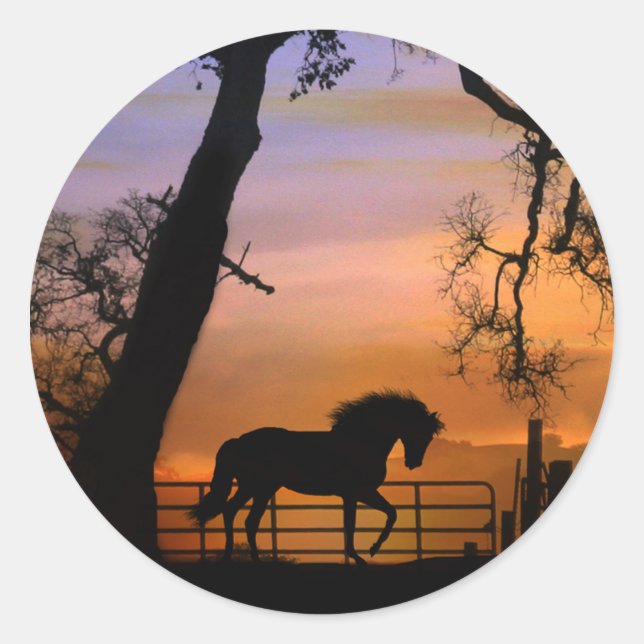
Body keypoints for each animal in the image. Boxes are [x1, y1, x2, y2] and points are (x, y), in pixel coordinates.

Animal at [188, 389, 444, 565]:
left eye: (429, 437)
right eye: (421, 433)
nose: (414, 463)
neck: (361, 441)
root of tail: (239, 441)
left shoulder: (355, 494)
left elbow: (384, 515)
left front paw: (366, 552)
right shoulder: (358, 493)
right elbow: (366, 521)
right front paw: (365, 554)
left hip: (260, 489)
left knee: (239, 516)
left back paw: (239, 558)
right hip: (257, 488)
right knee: (240, 516)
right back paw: (245, 559)